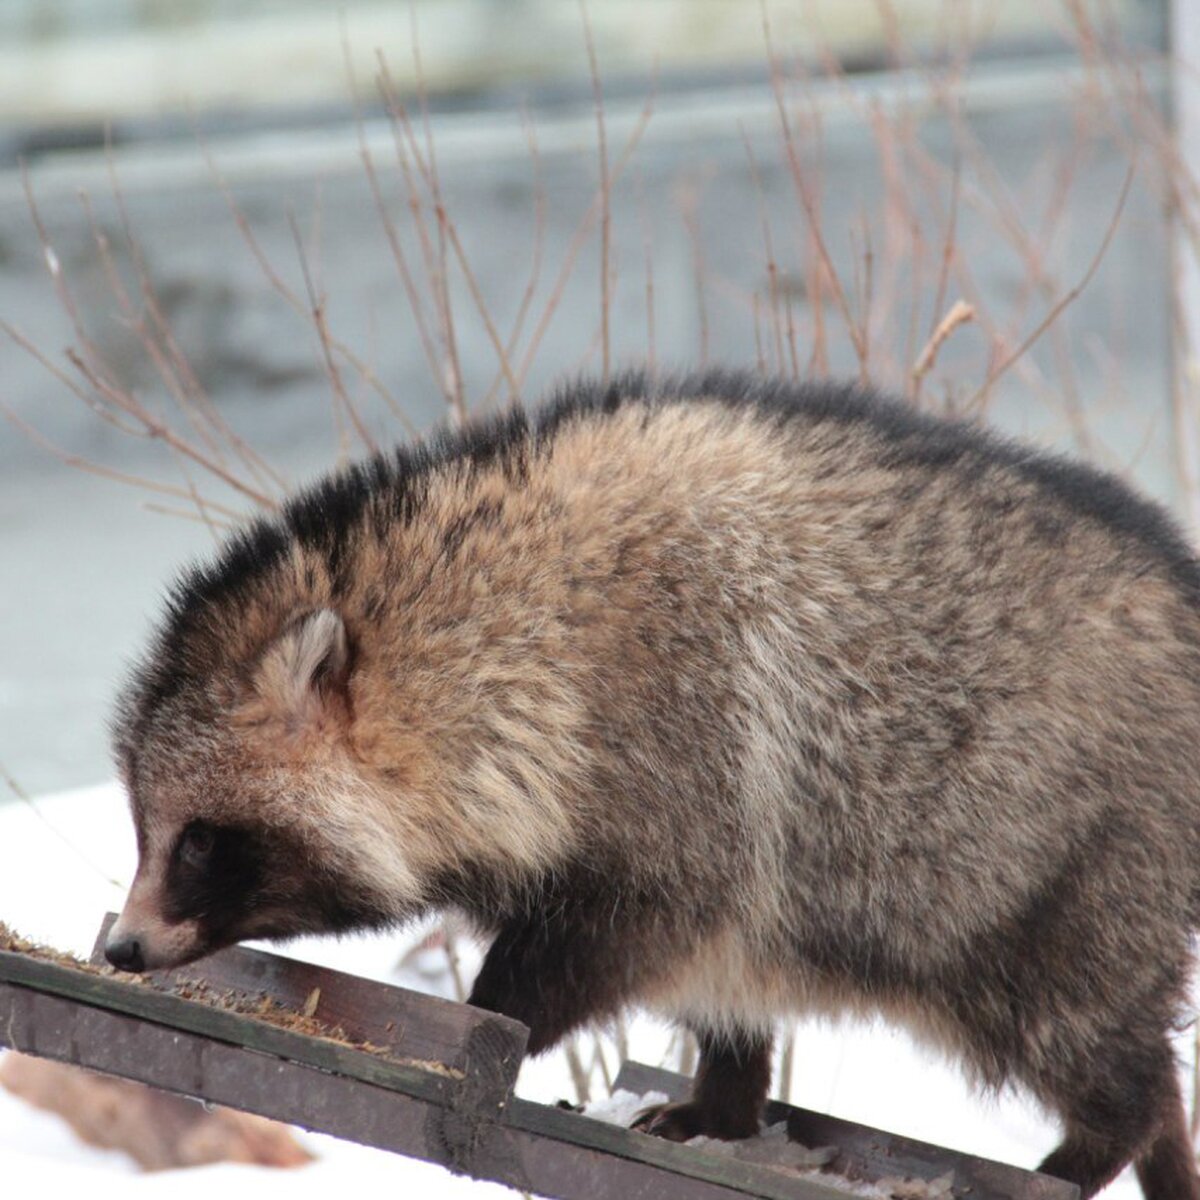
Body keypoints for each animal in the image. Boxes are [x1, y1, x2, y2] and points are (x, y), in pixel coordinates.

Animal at [110, 369, 1200, 1195]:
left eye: (197, 840)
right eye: (147, 831)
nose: (121, 947)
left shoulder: (689, 749)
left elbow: (637, 929)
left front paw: (491, 1018)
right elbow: (718, 971)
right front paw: (728, 1098)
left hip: (1070, 878)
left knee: (1082, 1032)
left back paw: (1103, 1141)